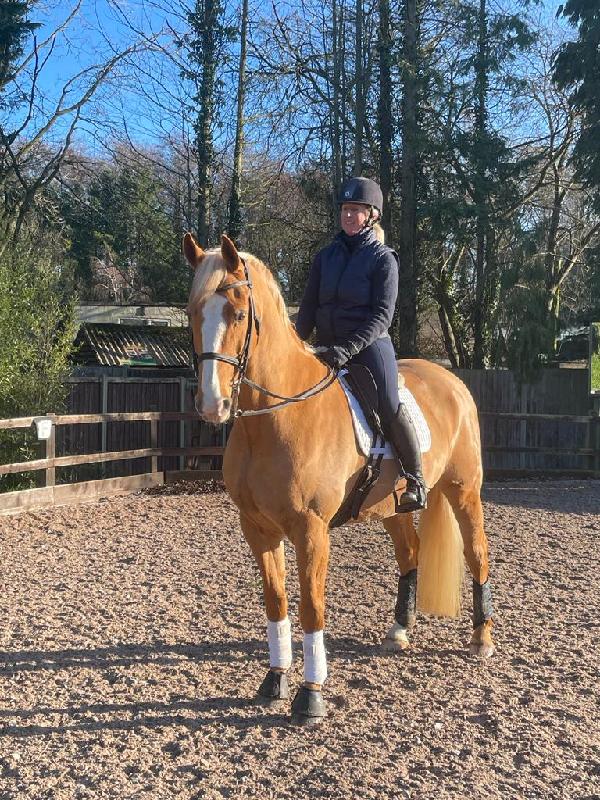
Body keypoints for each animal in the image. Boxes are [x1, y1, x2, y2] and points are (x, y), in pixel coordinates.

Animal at [183, 232, 495, 725]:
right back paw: (399, 631)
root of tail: (452, 382)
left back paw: (481, 640)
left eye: (238, 313)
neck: (275, 419)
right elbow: (276, 602)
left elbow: (312, 608)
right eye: (193, 312)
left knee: (477, 553)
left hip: (464, 491)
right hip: (393, 506)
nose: (212, 404)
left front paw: (310, 696)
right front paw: (274, 681)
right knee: (410, 555)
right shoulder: (257, 528)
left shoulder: (311, 530)